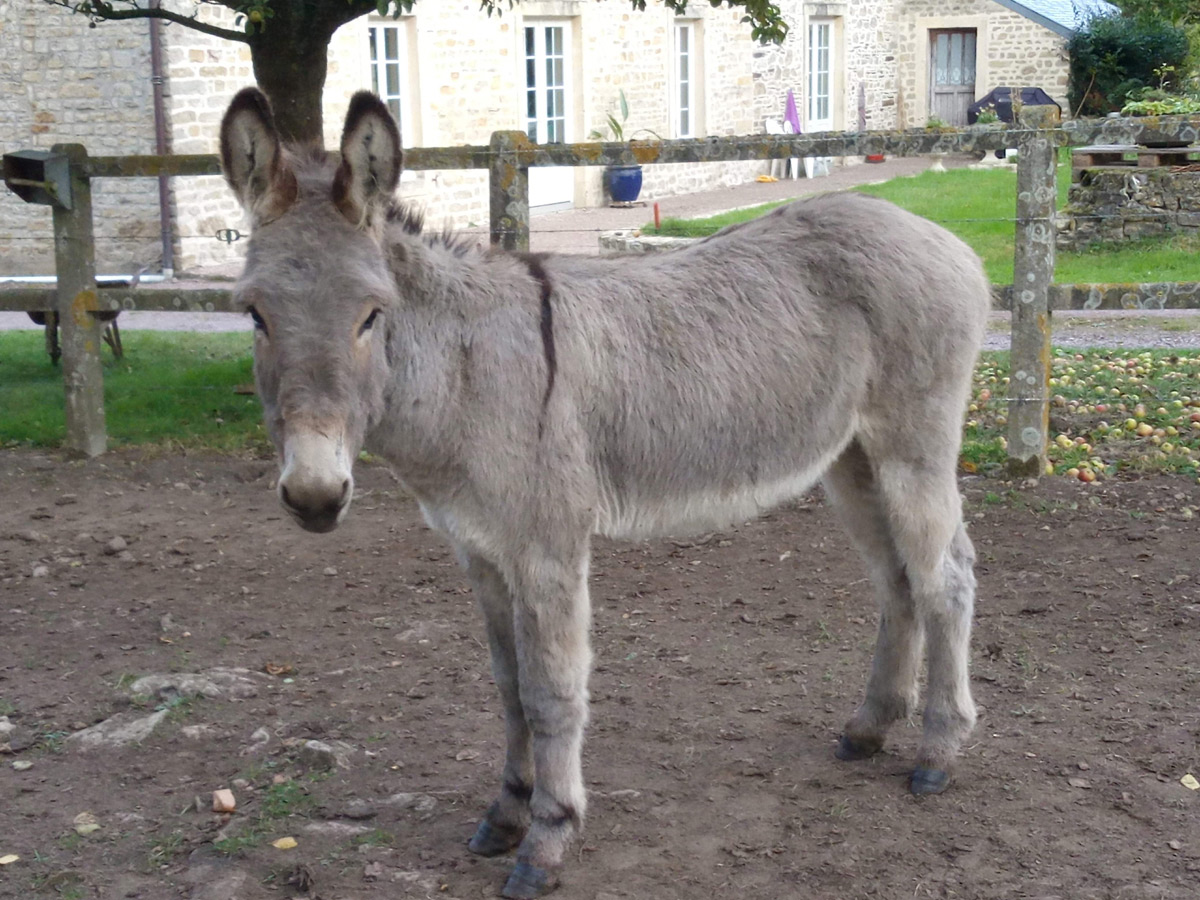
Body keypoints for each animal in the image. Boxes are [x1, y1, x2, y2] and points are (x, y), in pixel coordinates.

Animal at [219, 88, 989, 899]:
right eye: (253, 314)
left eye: (372, 314)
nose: (314, 495)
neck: (465, 372)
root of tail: (947, 240)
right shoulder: (479, 554)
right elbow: (507, 686)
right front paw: (505, 812)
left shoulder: (547, 549)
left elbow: (551, 693)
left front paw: (547, 839)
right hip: (851, 460)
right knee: (898, 581)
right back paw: (870, 728)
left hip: (912, 447)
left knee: (947, 579)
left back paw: (938, 752)